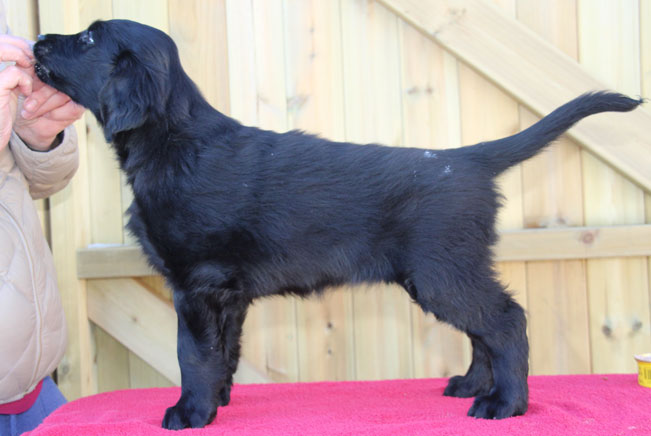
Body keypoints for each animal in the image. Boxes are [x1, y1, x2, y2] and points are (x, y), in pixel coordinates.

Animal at [33, 19, 642, 430]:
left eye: (87, 40)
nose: (37, 41)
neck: (174, 141)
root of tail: (467, 157)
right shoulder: (227, 295)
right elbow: (223, 351)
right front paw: (219, 399)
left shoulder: (197, 284)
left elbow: (191, 353)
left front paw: (190, 412)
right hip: (448, 272)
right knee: (483, 329)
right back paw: (472, 384)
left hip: (441, 273)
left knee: (506, 321)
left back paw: (503, 404)